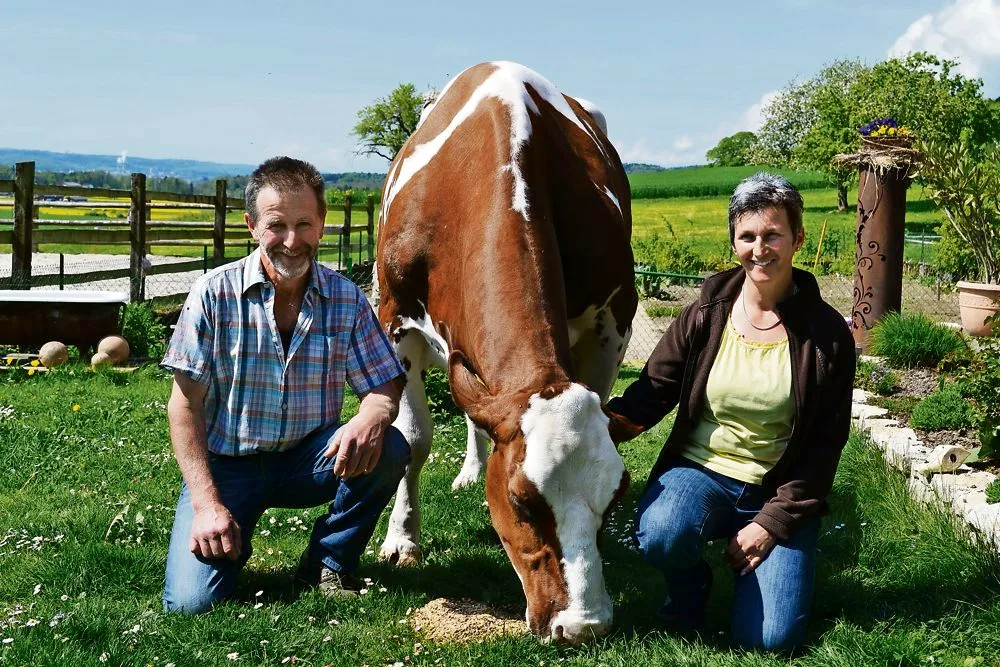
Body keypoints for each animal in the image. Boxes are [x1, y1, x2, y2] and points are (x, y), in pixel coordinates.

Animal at [375, 61, 638, 644]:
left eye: (617, 495)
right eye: (521, 500)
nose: (582, 626)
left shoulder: (614, 322)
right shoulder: (395, 320)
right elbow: (413, 439)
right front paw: (401, 540)